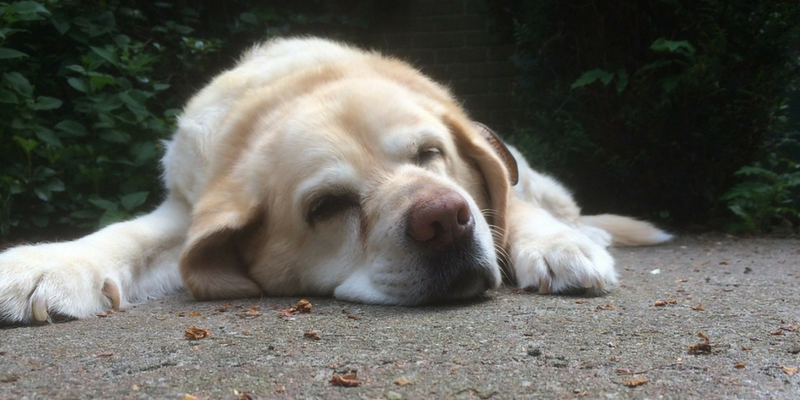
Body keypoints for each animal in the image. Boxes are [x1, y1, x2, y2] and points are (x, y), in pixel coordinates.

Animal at [0, 38, 672, 324]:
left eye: (430, 153)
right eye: (328, 206)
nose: (444, 219)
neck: (296, 87)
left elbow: (507, 205)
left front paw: (559, 247)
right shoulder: (185, 208)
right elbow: (126, 236)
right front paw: (43, 265)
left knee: (547, 199)